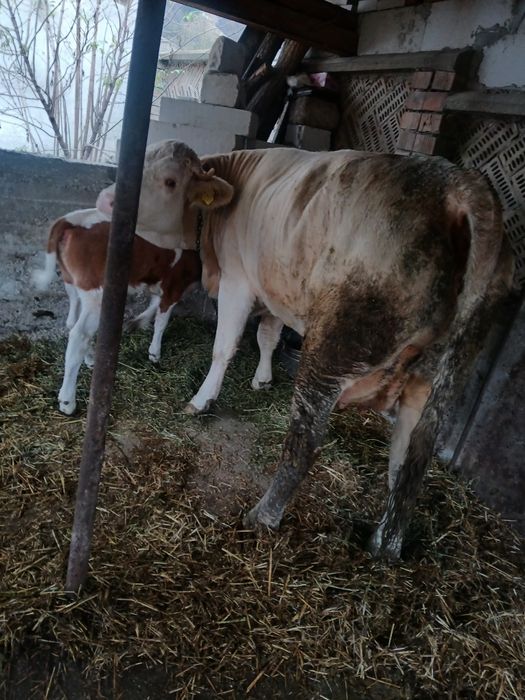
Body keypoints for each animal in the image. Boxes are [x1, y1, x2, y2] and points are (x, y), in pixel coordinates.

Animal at [33, 207, 201, 415]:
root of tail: (71, 219)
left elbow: (153, 305)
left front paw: (138, 323)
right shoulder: (173, 288)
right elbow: (162, 322)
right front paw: (154, 353)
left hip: (72, 283)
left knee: (72, 323)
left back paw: (90, 359)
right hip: (96, 294)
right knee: (79, 335)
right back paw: (67, 402)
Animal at [96, 140, 514, 559]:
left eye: (169, 180)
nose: (108, 200)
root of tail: (458, 183)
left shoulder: (238, 280)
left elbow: (224, 347)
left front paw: (202, 400)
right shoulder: (272, 285)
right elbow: (267, 335)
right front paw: (262, 379)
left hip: (331, 351)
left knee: (306, 442)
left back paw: (262, 517)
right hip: (434, 379)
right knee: (409, 461)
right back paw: (386, 544)